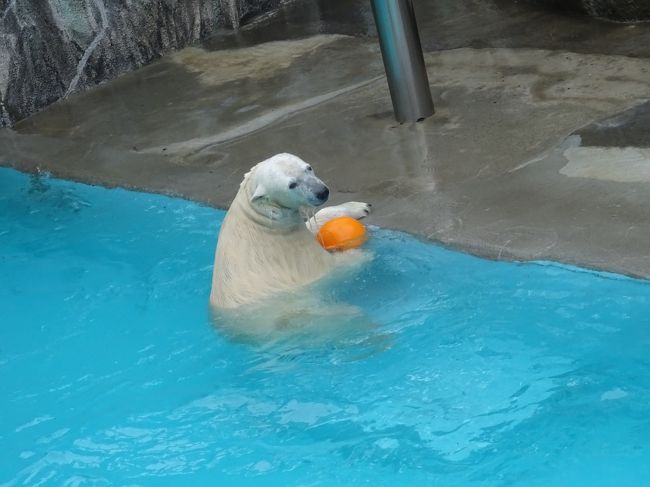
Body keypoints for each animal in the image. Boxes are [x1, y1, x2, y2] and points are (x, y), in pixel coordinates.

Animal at [209, 154, 370, 310]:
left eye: (308, 168)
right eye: (292, 185)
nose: (322, 192)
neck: (262, 219)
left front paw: (360, 207)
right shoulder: (296, 252)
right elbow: (335, 267)